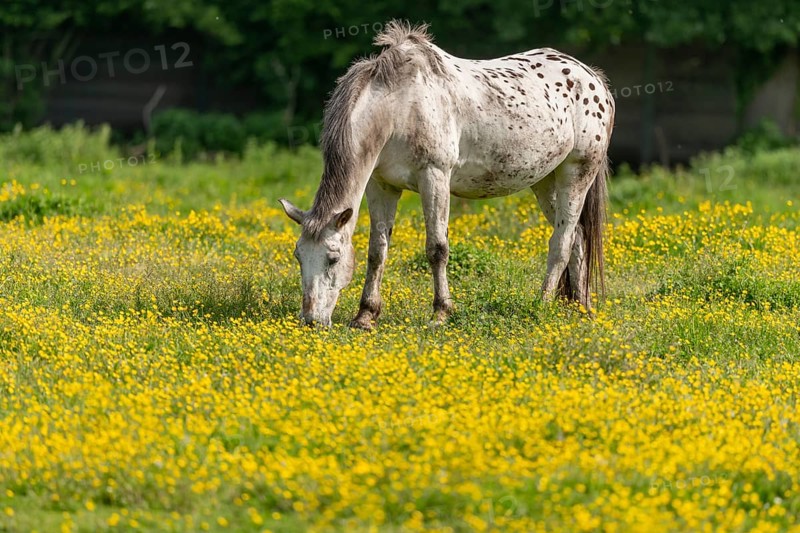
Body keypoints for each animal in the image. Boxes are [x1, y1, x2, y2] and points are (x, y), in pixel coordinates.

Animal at [280, 20, 614, 328]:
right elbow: (377, 251)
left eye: (333, 258)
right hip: (546, 182)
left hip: (577, 172)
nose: (310, 320)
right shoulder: (381, 185)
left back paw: (542, 305)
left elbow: (437, 248)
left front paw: (441, 313)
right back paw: (581, 308)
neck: (399, 107)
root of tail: (594, 80)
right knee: (578, 237)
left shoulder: (434, 177)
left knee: (562, 242)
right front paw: (365, 316)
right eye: (298, 256)